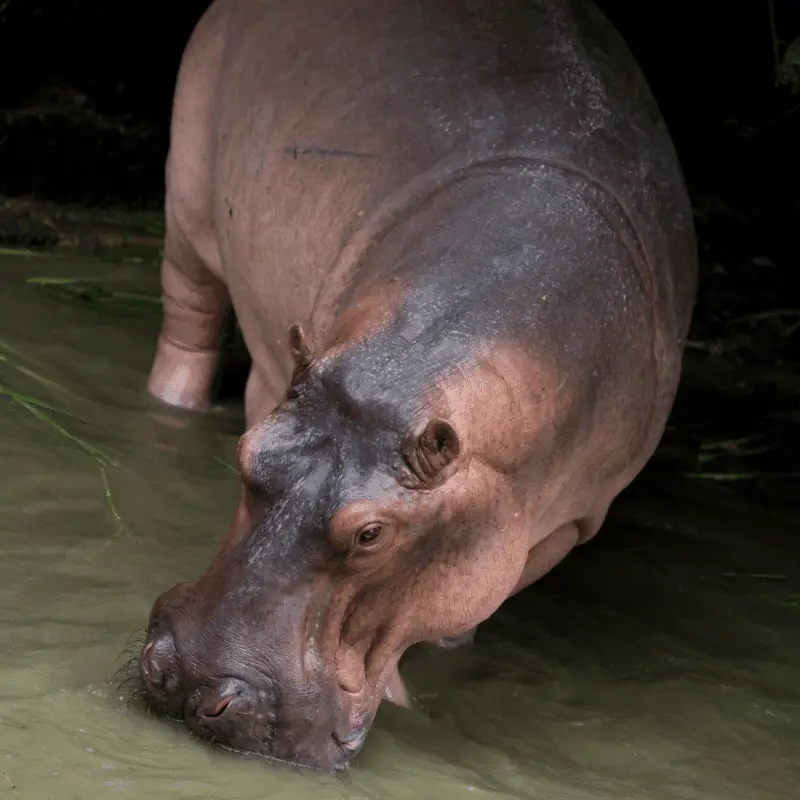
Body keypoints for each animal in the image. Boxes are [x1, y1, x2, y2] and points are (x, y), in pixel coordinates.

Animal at [141, 0, 696, 772]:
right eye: (247, 455)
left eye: (372, 533)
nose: (188, 683)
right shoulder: (275, 388)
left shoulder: (555, 526)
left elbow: (449, 605)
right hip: (190, 200)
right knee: (187, 322)